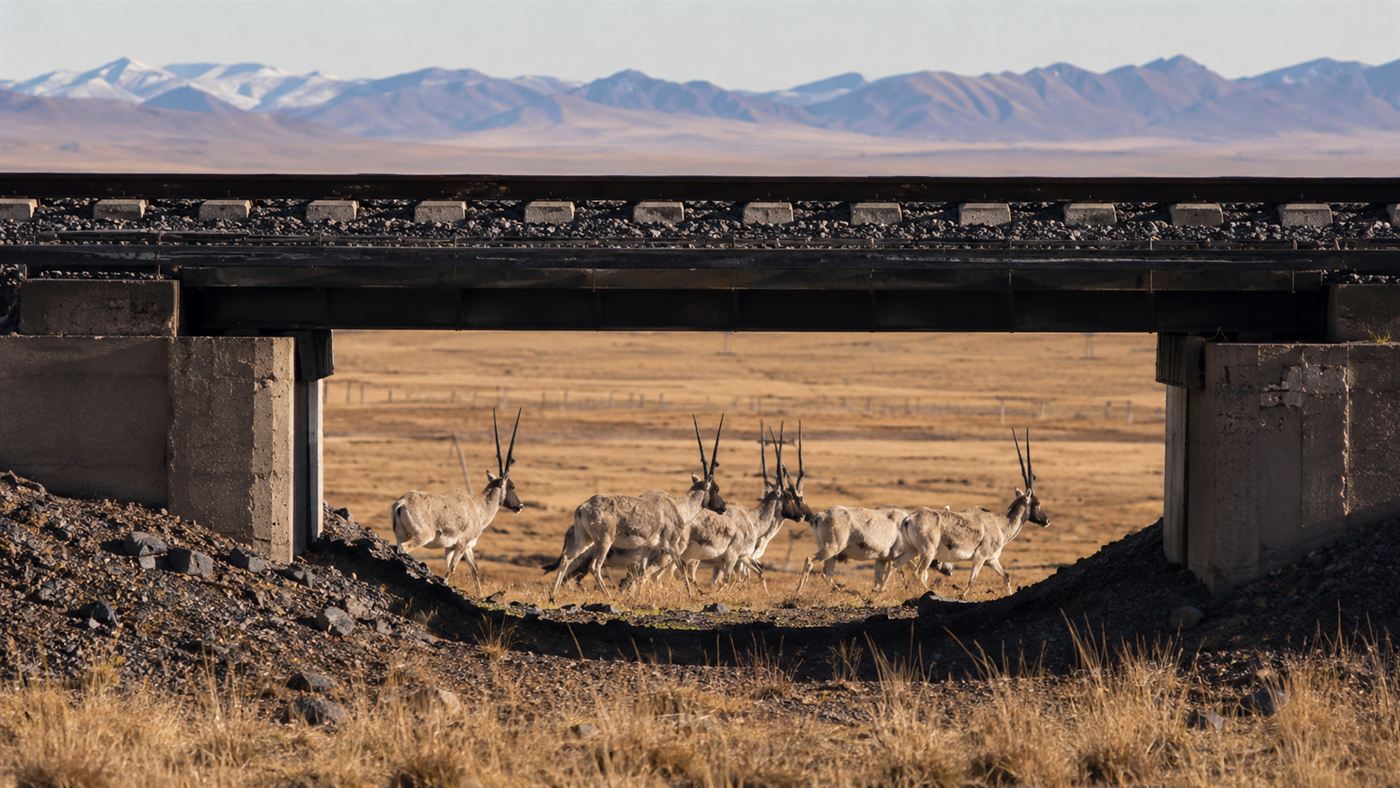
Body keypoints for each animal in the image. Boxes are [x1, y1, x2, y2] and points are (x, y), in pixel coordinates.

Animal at [390, 409, 523, 595]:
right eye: (512, 486)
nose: (520, 506)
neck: (477, 507)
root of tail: (402, 502)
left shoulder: (461, 547)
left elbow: (474, 571)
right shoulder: (461, 544)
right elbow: (451, 571)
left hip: (401, 534)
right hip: (422, 536)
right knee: (404, 548)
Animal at [547, 416, 727, 600]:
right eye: (716, 488)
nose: (723, 507)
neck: (678, 506)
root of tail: (583, 507)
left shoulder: (648, 548)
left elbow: (642, 572)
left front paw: (637, 596)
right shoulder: (672, 545)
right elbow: (681, 568)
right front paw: (691, 596)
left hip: (585, 540)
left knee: (566, 559)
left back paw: (553, 595)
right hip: (604, 541)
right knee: (594, 566)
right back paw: (608, 596)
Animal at [896, 429, 1049, 598]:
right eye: (1037, 503)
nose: (1046, 520)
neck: (1001, 524)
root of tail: (909, 519)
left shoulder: (992, 559)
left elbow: (1006, 576)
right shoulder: (980, 557)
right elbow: (972, 580)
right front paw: (961, 596)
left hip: (912, 550)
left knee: (897, 566)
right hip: (928, 552)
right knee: (918, 573)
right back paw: (933, 592)